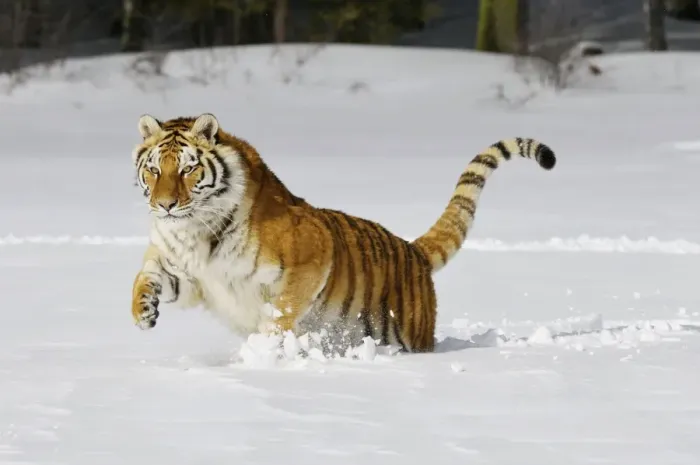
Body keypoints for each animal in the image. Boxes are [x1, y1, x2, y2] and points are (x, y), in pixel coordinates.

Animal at [131, 113, 556, 353]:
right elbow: (145, 278)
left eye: (187, 169)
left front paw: (267, 348)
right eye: (153, 170)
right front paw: (143, 313)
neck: (194, 230)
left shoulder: (311, 255)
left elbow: (282, 311)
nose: (165, 205)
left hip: (407, 333)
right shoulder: (185, 271)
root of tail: (413, 251)